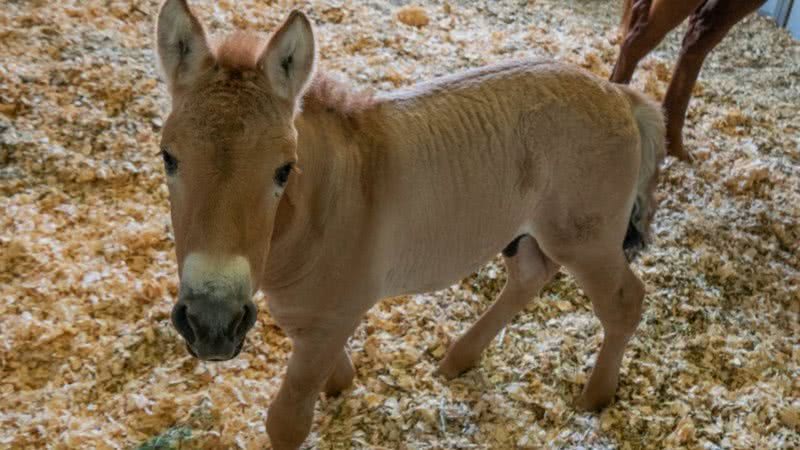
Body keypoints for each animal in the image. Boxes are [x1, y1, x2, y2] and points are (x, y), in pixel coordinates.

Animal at [155, 1, 664, 448]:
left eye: (284, 169)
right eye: (168, 157)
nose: (211, 323)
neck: (326, 205)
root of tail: (619, 95)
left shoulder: (333, 317)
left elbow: (287, 421)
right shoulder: (305, 313)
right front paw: (342, 384)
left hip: (585, 240)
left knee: (624, 301)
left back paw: (596, 396)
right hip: (527, 232)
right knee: (529, 276)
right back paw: (459, 358)